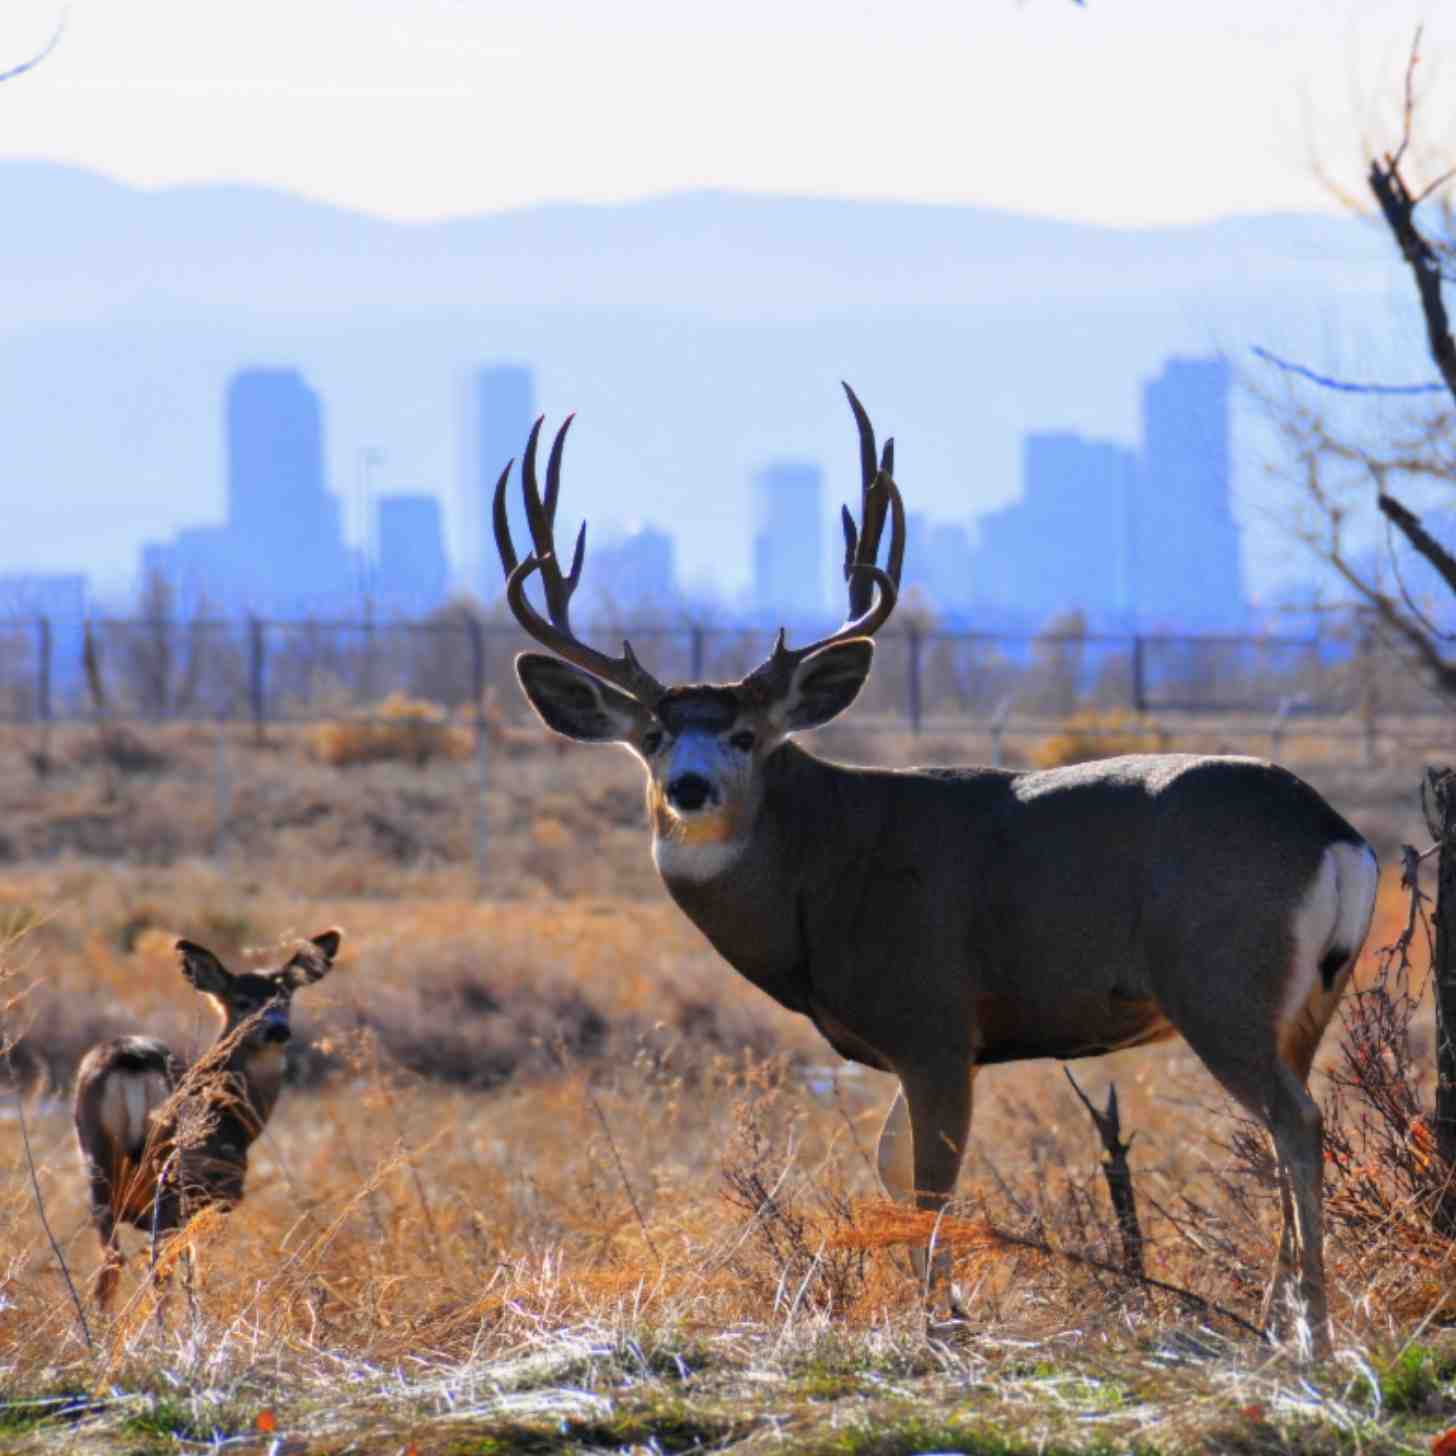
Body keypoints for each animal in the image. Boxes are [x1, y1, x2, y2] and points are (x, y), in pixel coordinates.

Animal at [72, 930, 340, 1311]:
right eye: (243, 1002)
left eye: (285, 998)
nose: (278, 1030)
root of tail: (132, 1059)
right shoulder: (218, 1193)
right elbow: (195, 1271)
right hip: (175, 1177)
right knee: (157, 1267)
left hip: (96, 1159)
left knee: (113, 1260)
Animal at [492, 384, 1377, 1359]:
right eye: (651, 736)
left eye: (747, 736)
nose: (690, 787)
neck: (821, 878)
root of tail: (1334, 833)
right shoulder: (917, 1042)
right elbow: (891, 1167)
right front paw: (944, 1307)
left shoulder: (934, 1019)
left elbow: (929, 1181)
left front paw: (933, 1322)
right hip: (1308, 1000)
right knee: (1293, 1121)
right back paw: (1277, 1318)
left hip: (1220, 981)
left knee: (1295, 1121)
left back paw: (1311, 1331)